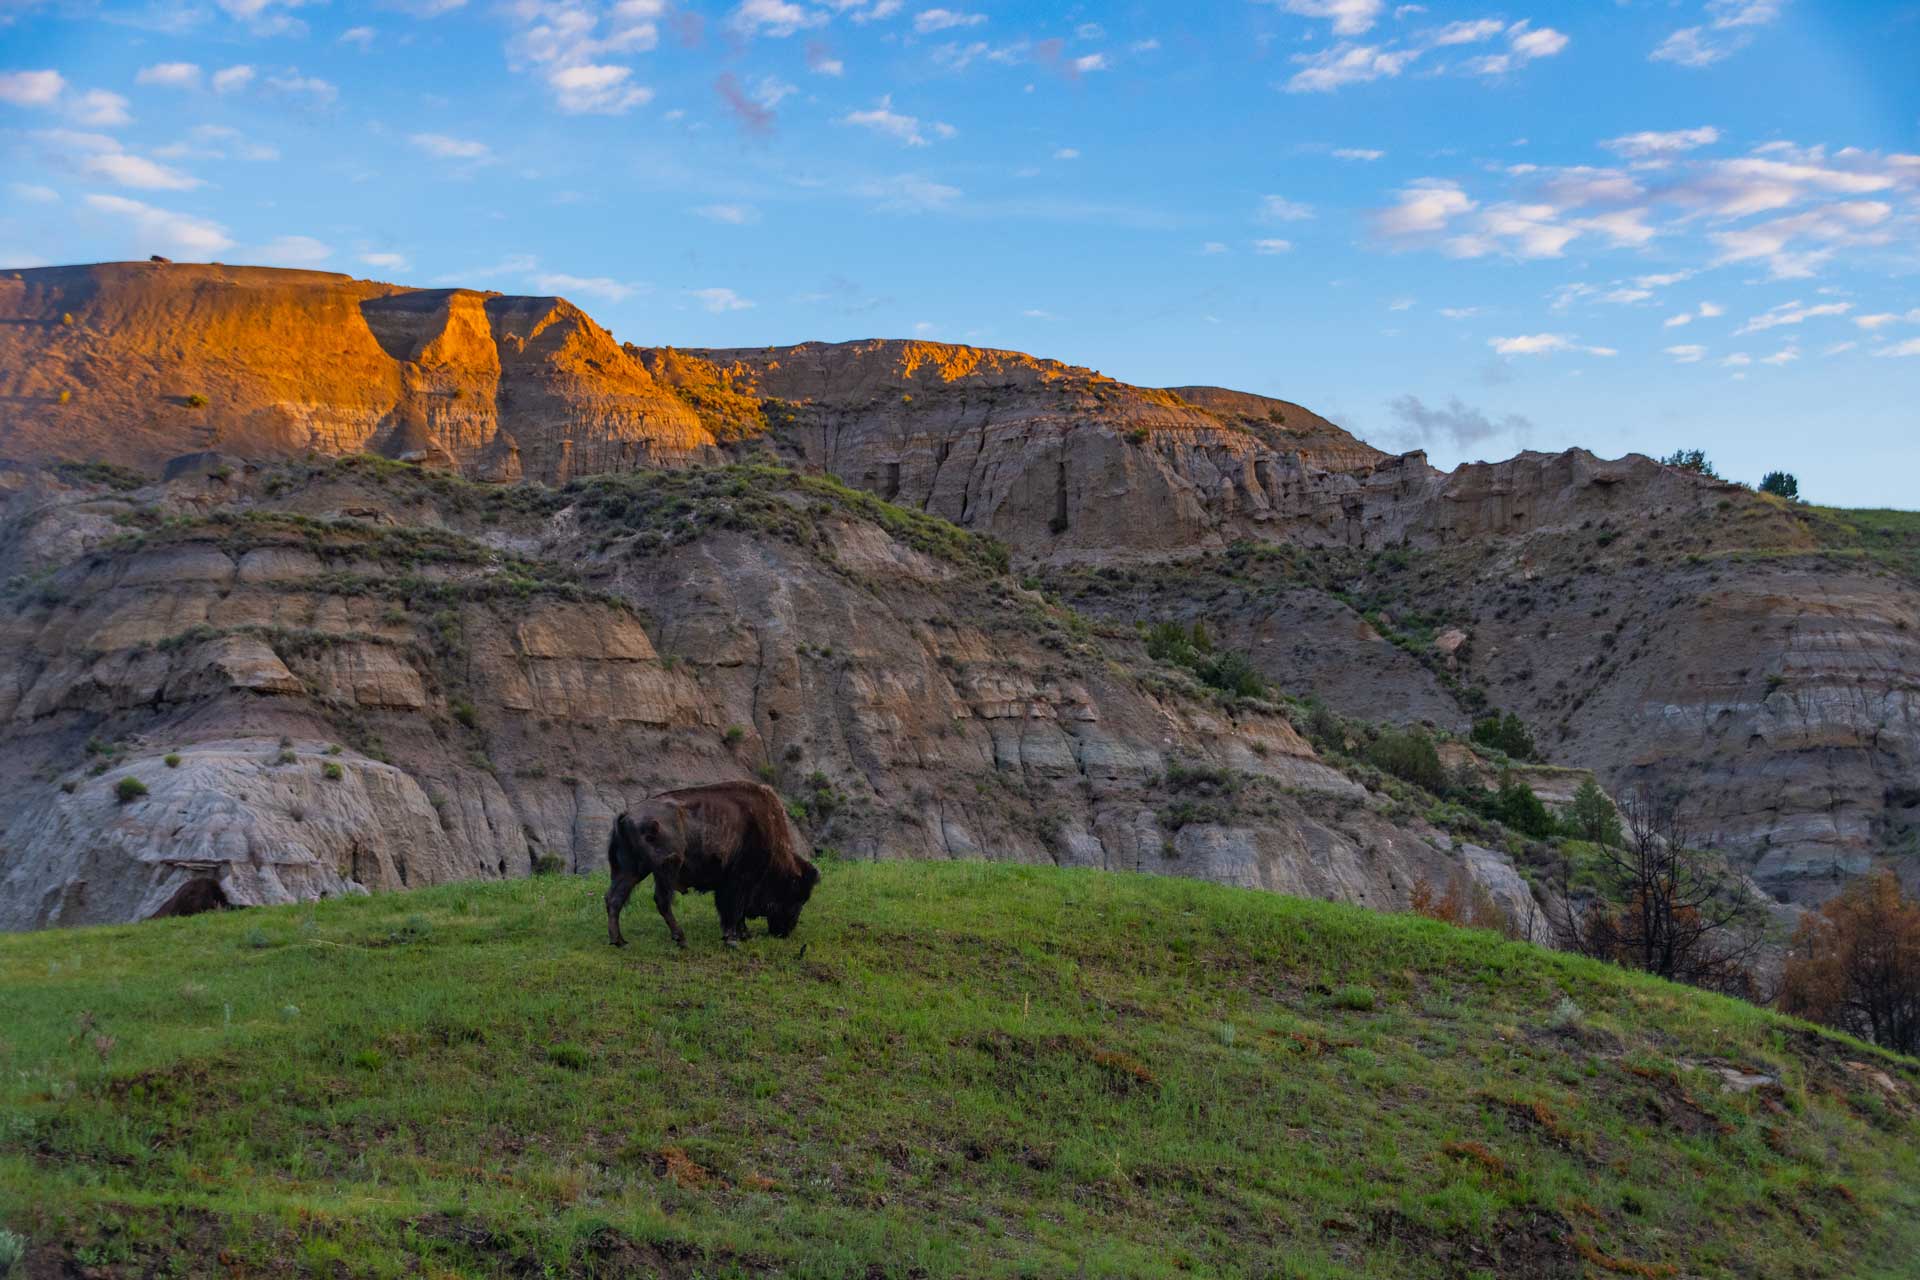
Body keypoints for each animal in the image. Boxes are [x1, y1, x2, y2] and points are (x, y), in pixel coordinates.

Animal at [602, 782, 821, 951]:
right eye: (796, 896)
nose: (785, 932)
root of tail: (626, 814)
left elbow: (733, 910)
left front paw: (743, 935)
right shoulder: (740, 880)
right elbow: (735, 909)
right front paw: (733, 939)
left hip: (631, 870)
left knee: (614, 898)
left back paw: (620, 942)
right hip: (666, 868)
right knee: (662, 901)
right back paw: (681, 939)